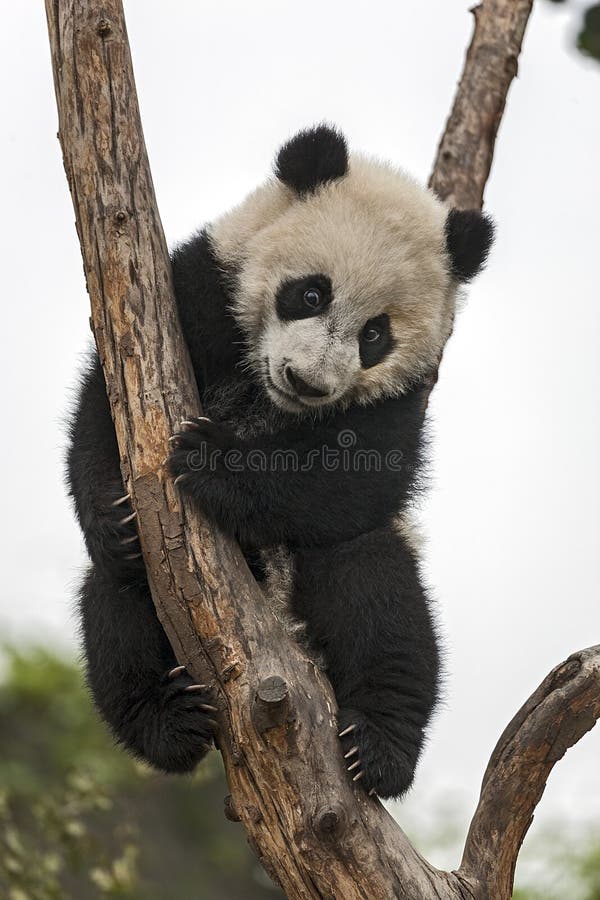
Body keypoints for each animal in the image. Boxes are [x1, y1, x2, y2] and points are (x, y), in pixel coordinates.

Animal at [67, 125, 493, 799]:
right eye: (310, 293)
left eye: (375, 335)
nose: (308, 382)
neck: (268, 403)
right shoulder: (199, 290)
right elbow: (108, 405)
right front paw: (113, 518)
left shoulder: (402, 398)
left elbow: (355, 477)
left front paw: (212, 460)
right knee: (116, 607)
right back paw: (169, 723)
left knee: (381, 597)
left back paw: (378, 747)